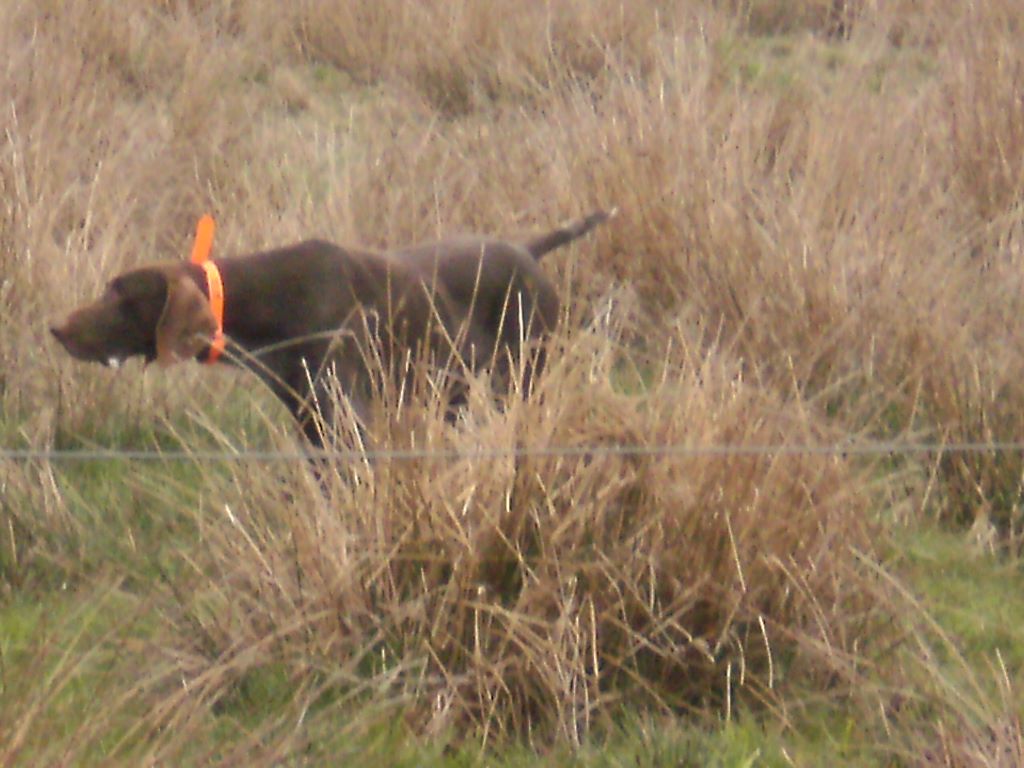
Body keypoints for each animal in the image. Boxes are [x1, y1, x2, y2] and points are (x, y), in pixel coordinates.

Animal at [51, 210, 610, 448]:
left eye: (121, 297)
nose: (55, 328)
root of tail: (527, 251)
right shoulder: (314, 426)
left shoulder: (349, 423)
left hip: (521, 380)